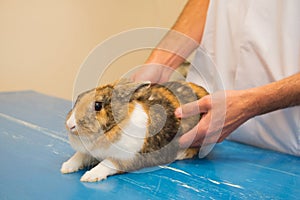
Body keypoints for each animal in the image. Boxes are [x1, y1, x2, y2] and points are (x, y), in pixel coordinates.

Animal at [59, 79, 207, 182]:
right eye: (79, 98)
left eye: (97, 105)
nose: (70, 125)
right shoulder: (89, 152)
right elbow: (79, 156)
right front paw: (66, 167)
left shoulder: (125, 158)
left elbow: (107, 164)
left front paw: (90, 176)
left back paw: (181, 154)